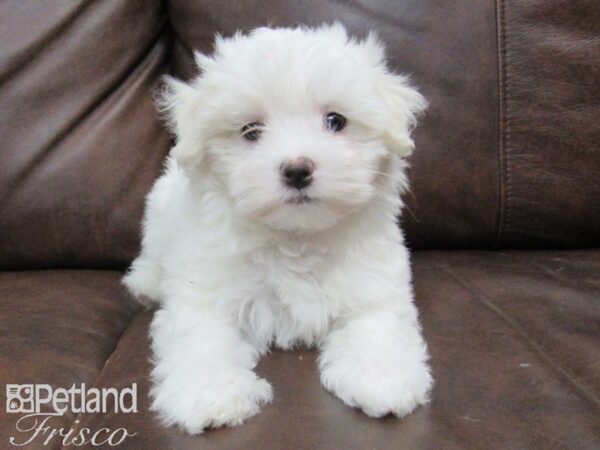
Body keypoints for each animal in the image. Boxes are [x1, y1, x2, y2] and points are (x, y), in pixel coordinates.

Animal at [123, 23, 432, 432]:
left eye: (335, 121)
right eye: (251, 130)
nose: (297, 169)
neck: (295, 238)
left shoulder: (373, 284)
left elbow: (377, 325)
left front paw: (382, 378)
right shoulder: (205, 287)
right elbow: (201, 335)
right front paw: (211, 394)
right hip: (159, 213)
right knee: (152, 255)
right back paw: (145, 284)